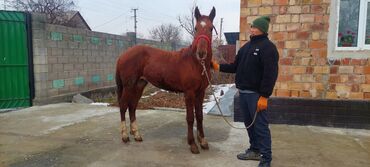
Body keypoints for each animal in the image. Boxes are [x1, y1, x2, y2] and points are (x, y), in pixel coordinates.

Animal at [114, 6, 215, 153]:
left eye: (211, 28)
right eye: (196, 28)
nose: (201, 53)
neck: (196, 63)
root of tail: (123, 55)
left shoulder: (200, 92)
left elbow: (200, 116)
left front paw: (203, 141)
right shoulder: (189, 93)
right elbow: (190, 118)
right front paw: (192, 144)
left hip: (139, 85)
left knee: (132, 106)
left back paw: (137, 134)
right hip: (129, 85)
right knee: (123, 106)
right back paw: (125, 136)